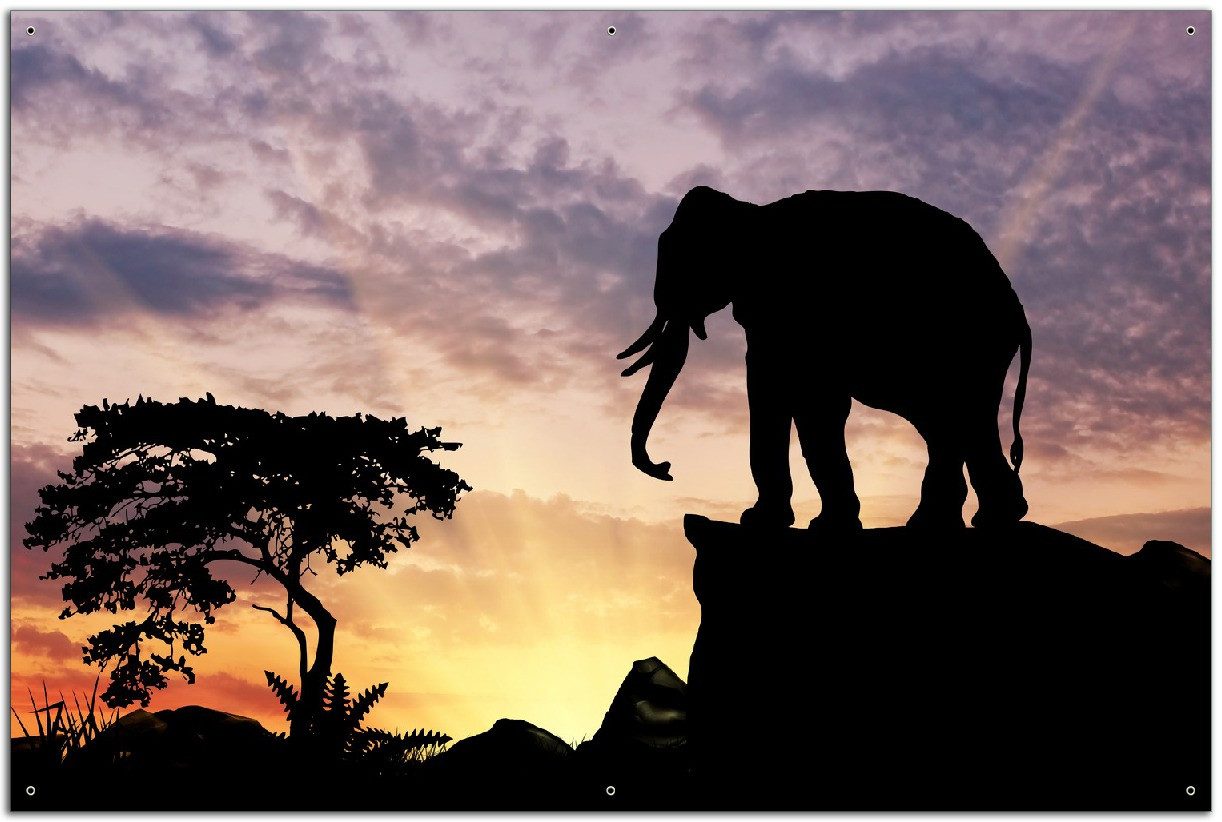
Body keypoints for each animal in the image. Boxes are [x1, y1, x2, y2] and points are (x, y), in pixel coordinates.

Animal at [618, 186, 1031, 531]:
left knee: (956, 417)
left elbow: (803, 399)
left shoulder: (793, 307)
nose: (666, 469)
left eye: (680, 262)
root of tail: (1018, 308)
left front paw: (767, 522)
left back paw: (959, 522)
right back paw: (975, 520)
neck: (751, 212)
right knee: (953, 421)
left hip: (966, 345)